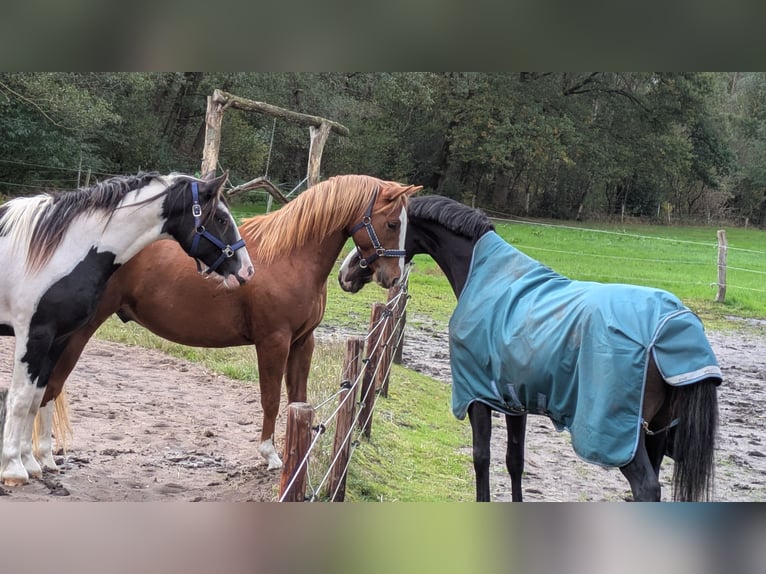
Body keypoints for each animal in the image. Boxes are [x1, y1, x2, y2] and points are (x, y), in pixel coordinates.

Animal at [0, 171, 254, 485]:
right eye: (221, 218)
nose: (246, 270)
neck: (59, 252)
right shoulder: (34, 336)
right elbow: (21, 399)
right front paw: (13, 468)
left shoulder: (57, 339)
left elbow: (37, 397)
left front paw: (30, 463)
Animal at [36, 175, 420, 472]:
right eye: (392, 223)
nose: (392, 276)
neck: (290, 256)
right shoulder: (273, 341)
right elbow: (271, 399)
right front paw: (270, 455)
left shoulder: (302, 341)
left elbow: (298, 398)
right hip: (77, 333)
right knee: (49, 386)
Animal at [338, 195, 722, 502]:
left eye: (382, 224)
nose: (345, 274)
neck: (486, 277)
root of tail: (676, 325)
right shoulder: (515, 402)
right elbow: (514, 461)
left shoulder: (477, 396)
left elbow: (481, 457)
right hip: (656, 432)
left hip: (623, 437)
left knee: (646, 488)